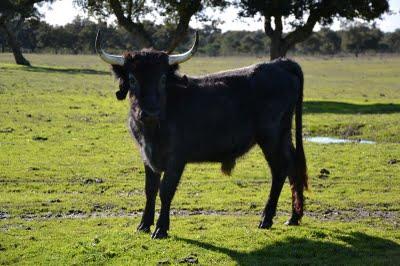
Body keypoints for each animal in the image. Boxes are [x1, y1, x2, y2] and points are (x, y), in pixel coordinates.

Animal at [95, 31, 308, 239]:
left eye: (163, 79)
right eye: (132, 79)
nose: (150, 112)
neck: (154, 127)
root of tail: (280, 63)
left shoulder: (176, 159)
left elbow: (166, 191)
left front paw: (161, 228)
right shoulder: (147, 156)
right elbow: (150, 189)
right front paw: (144, 225)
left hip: (271, 137)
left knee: (280, 169)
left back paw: (266, 218)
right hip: (283, 135)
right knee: (292, 165)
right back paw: (293, 217)